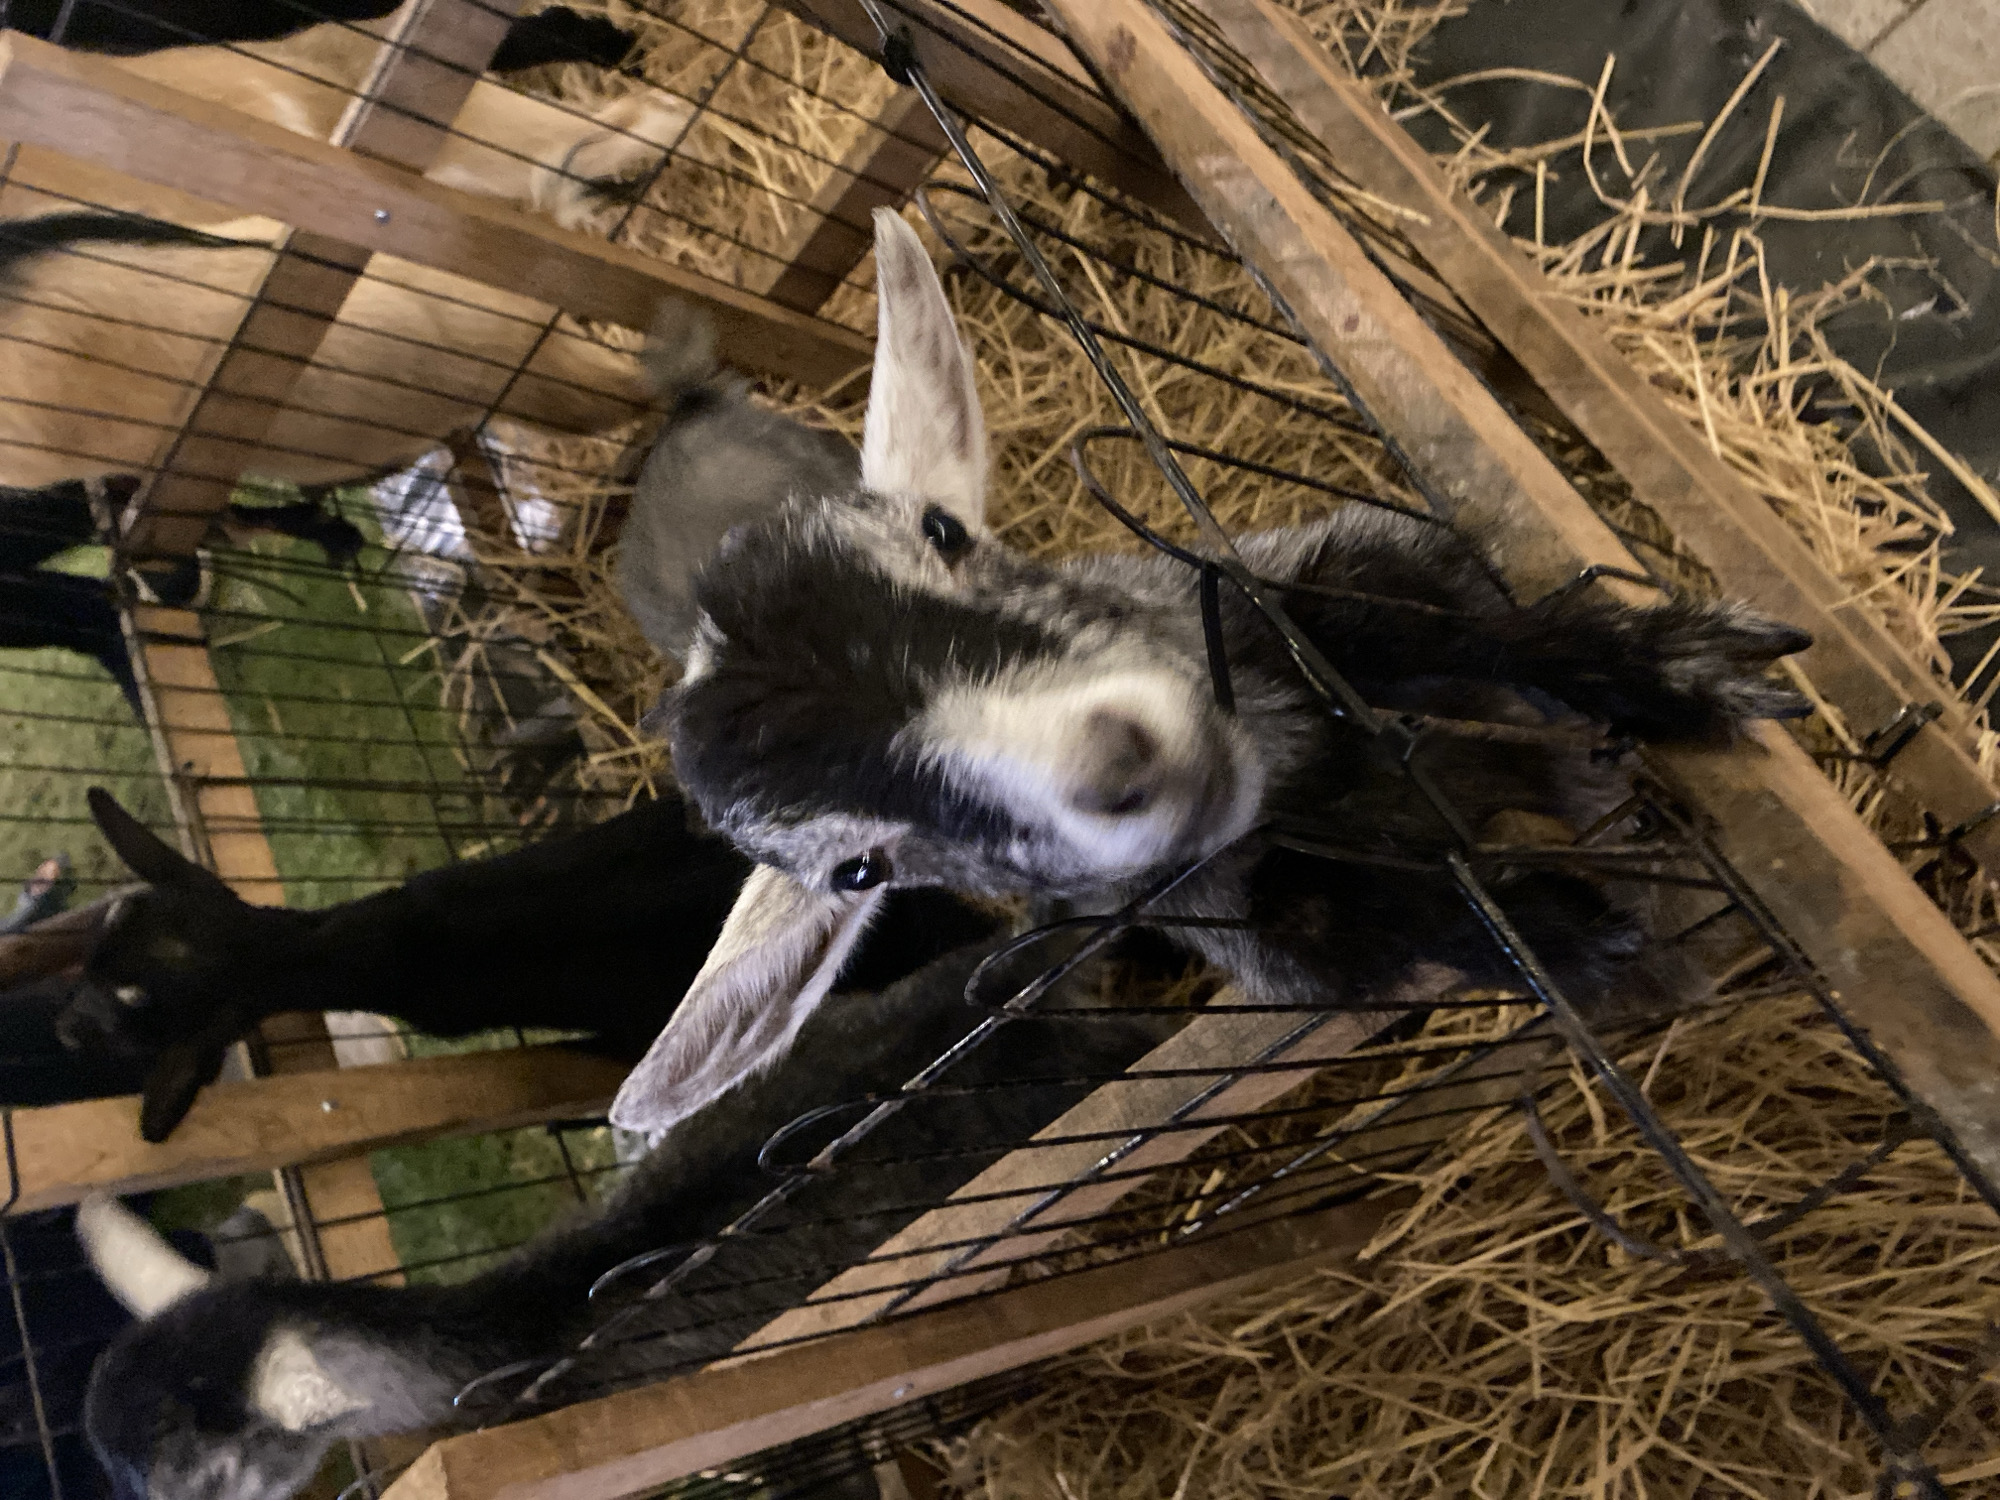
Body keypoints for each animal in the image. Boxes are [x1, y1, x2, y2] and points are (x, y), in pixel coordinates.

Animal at [604, 210, 1815, 1137]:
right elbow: (1392, 936)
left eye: (944, 533)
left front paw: (1681, 670)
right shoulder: (1262, 944)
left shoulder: (1333, 579)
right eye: (858, 869)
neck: (1311, 778)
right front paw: (1581, 934)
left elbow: (1465, 629)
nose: (1117, 761)